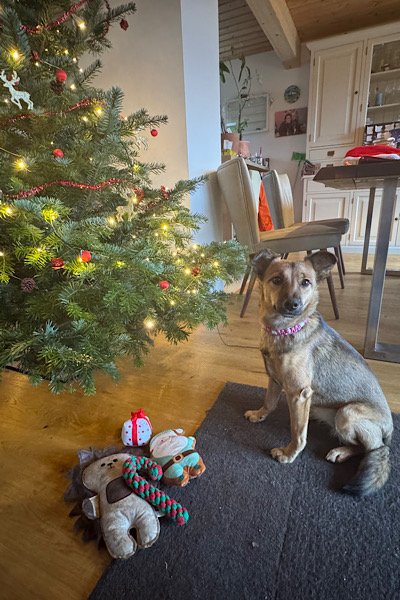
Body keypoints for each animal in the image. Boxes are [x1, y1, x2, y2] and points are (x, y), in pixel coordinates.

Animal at [245, 250, 392, 496]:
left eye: (306, 283)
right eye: (277, 279)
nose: (293, 304)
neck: (283, 329)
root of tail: (390, 429)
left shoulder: (298, 394)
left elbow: (298, 432)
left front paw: (288, 454)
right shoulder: (274, 379)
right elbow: (269, 402)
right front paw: (259, 415)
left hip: (346, 413)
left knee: (371, 447)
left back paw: (341, 452)